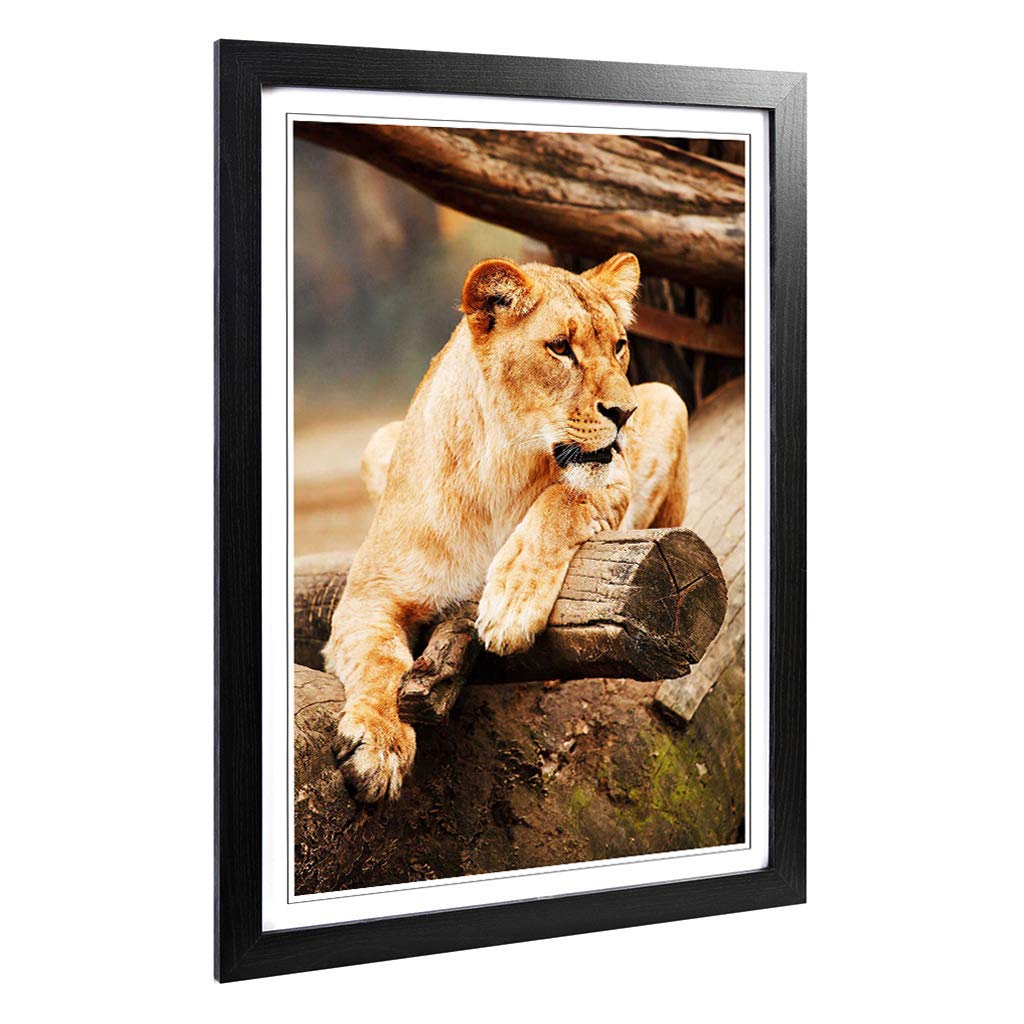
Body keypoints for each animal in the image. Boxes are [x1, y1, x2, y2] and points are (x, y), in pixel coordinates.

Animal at [323, 253, 688, 802]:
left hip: (669, 398)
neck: (500, 467)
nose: (625, 413)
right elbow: (378, 660)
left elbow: (563, 499)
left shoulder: (611, 476)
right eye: (560, 348)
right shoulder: (367, 597)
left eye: (619, 346)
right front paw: (379, 744)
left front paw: (510, 604)